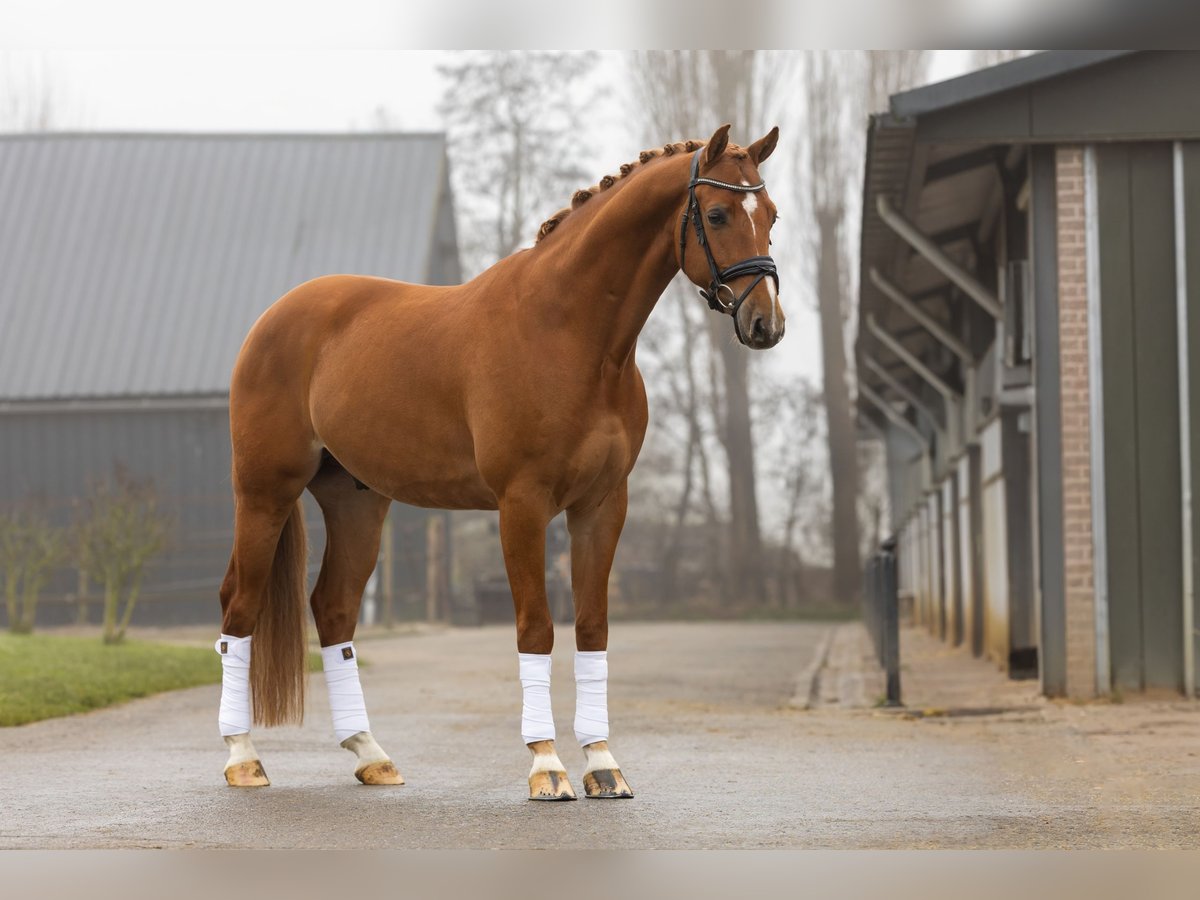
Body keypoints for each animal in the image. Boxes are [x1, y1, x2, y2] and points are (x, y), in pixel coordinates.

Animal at [216, 123, 782, 801]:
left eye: (771, 215)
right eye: (718, 214)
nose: (766, 323)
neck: (571, 334)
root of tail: (274, 318)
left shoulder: (602, 505)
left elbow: (592, 628)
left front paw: (603, 765)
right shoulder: (523, 504)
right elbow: (536, 627)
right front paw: (547, 766)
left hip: (356, 501)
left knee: (333, 609)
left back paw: (370, 754)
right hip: (264, 491)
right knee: (240, 604)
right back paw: (243, 758)